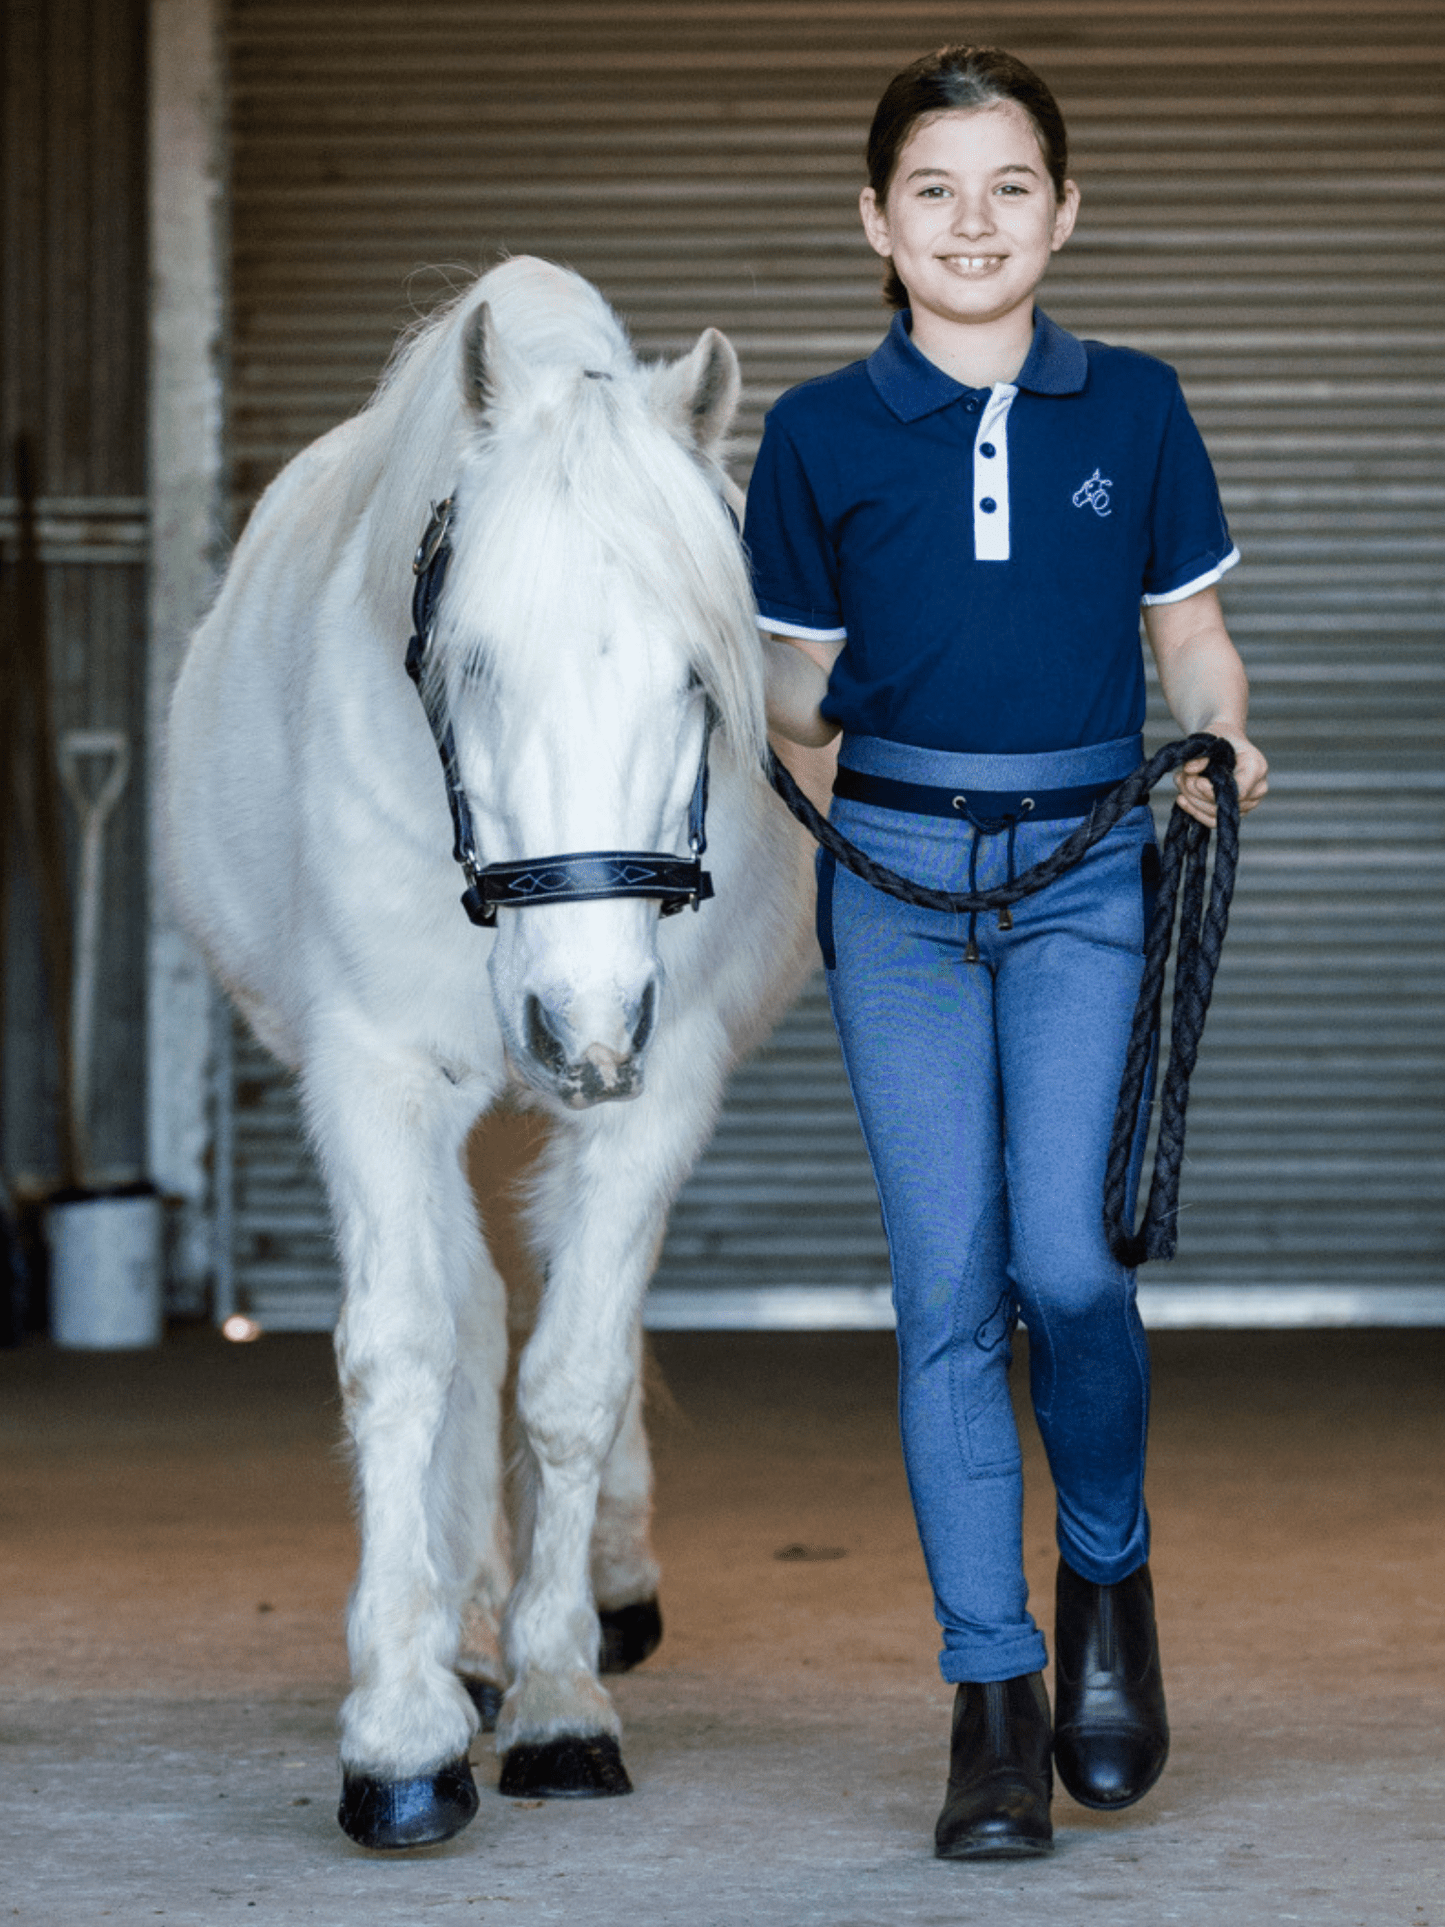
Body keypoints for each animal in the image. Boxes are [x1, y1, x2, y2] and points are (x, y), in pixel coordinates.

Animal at [163, 260, 820, 1849]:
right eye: (469, 664)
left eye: (701, 679)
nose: (576, 1024)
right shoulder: (373, 1077)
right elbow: (408, 1354)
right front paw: (401, 1730)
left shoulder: (655, 1086)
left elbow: (573, 1373)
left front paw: (559, 1697)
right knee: (463, 1314)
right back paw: (456, 1631)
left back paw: (592, 1597)